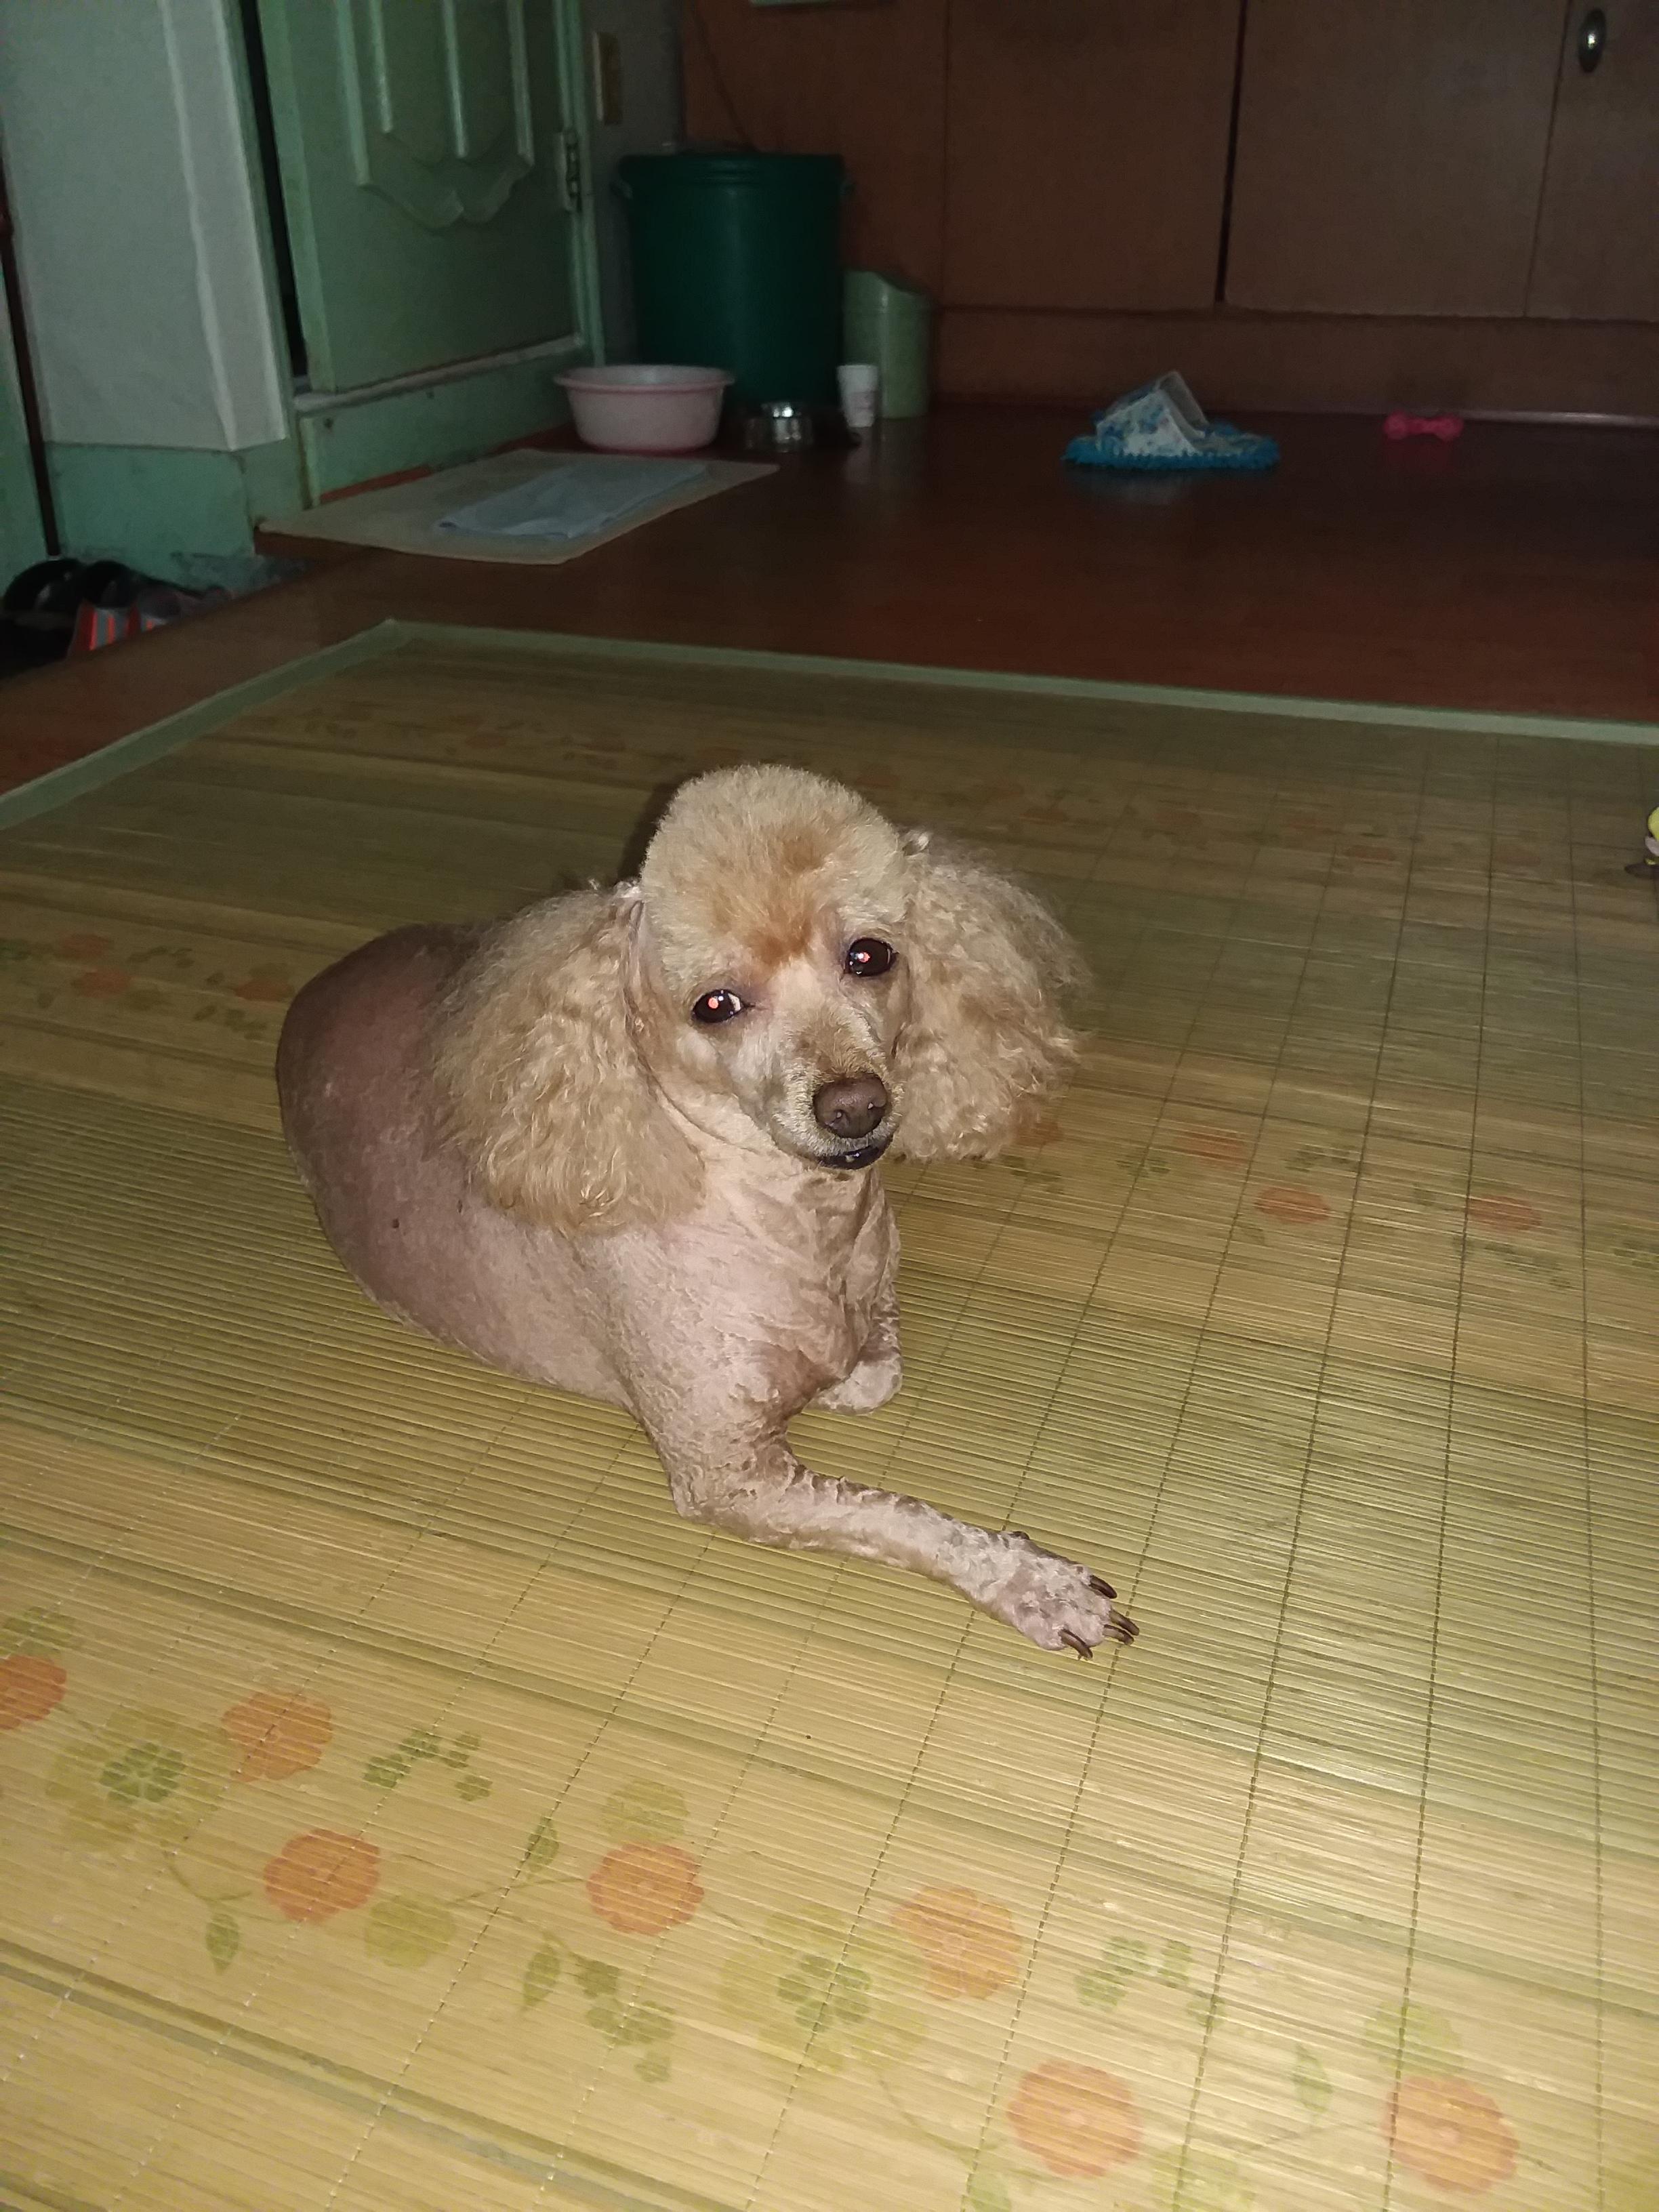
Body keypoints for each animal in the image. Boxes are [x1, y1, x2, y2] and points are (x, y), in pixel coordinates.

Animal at [276, 765, 1134, 1656]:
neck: (798, 1222)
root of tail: (315, 992)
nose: (855, 1108)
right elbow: (903, 1519)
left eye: (869, 956)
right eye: (714, 1005)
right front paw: (1033, 1583)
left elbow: (871, 1370)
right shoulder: (732, 1478)